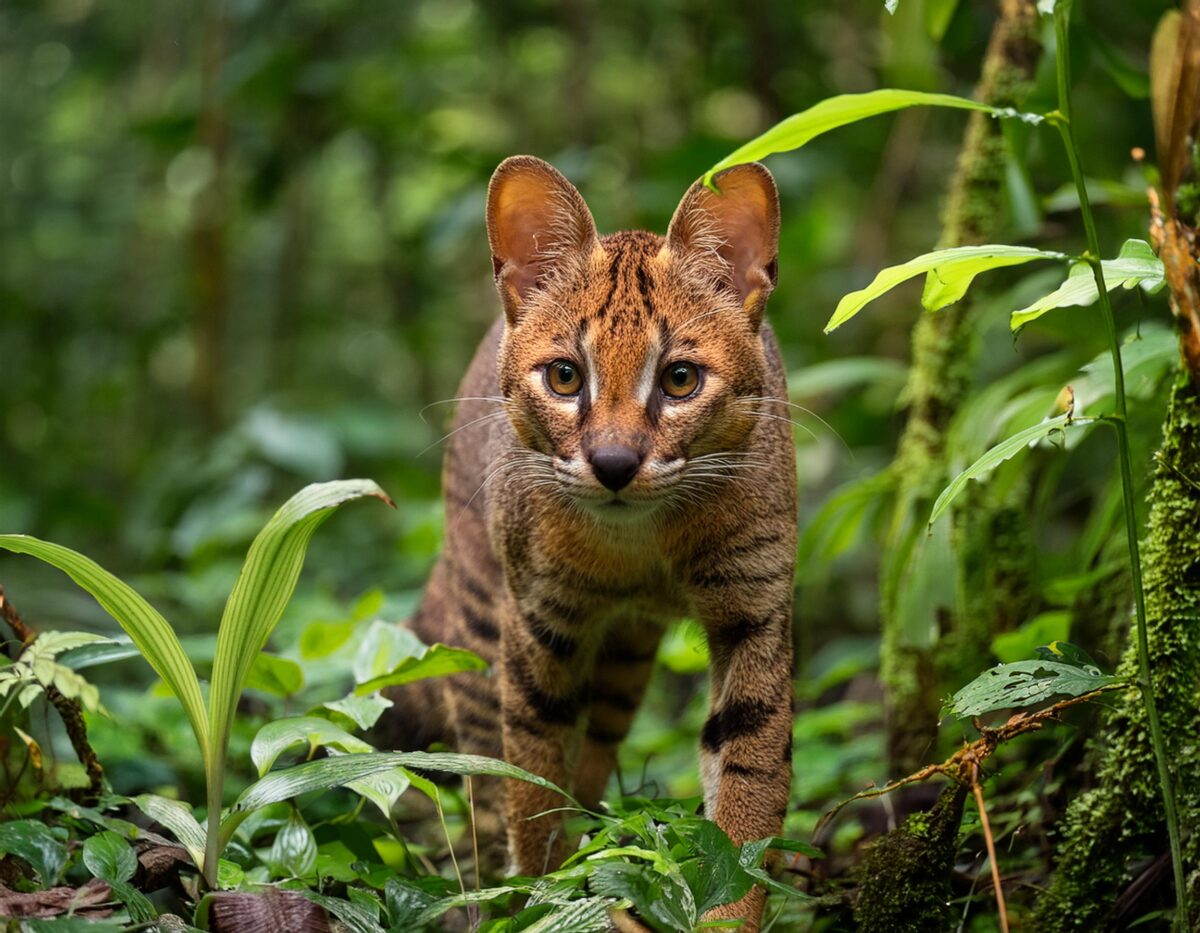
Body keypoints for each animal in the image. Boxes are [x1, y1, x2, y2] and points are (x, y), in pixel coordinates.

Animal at [384, 154, 796, 921]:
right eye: (565, 376)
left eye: (680, 378)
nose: (612, 463)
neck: (644, 545)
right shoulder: (537, 619)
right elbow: (530, 780)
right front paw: (537, 901)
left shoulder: (753, 607)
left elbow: (751, 774)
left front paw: (727, 915)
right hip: (483, 618)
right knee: (485, 776)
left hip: (624, 660)